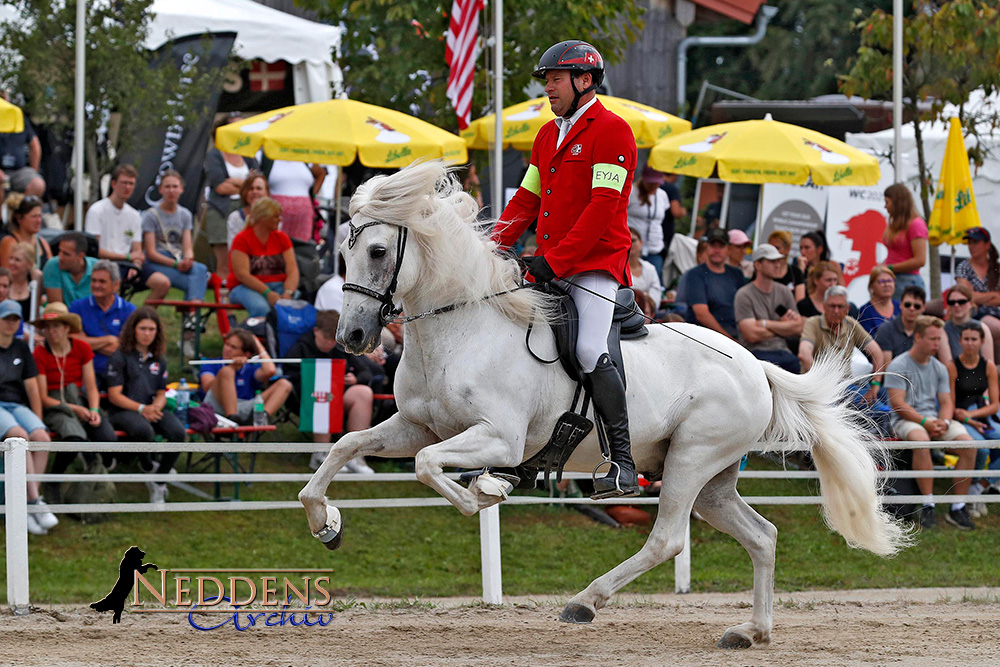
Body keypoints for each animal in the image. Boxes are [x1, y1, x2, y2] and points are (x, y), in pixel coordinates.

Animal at [298, 160, 916, 648]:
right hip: (710, 477)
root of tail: (755, 367)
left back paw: (586, 601)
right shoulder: (415, 426)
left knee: (667, 539)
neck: (462, 327)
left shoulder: (498, 437)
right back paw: (751, 632)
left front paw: (484, 494)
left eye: (378, 250)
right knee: (761, 536)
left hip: (690, 460)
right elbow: (348, 446)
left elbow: (432, 470)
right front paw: (326, 523)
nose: (353, 337)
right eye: (344, 251)